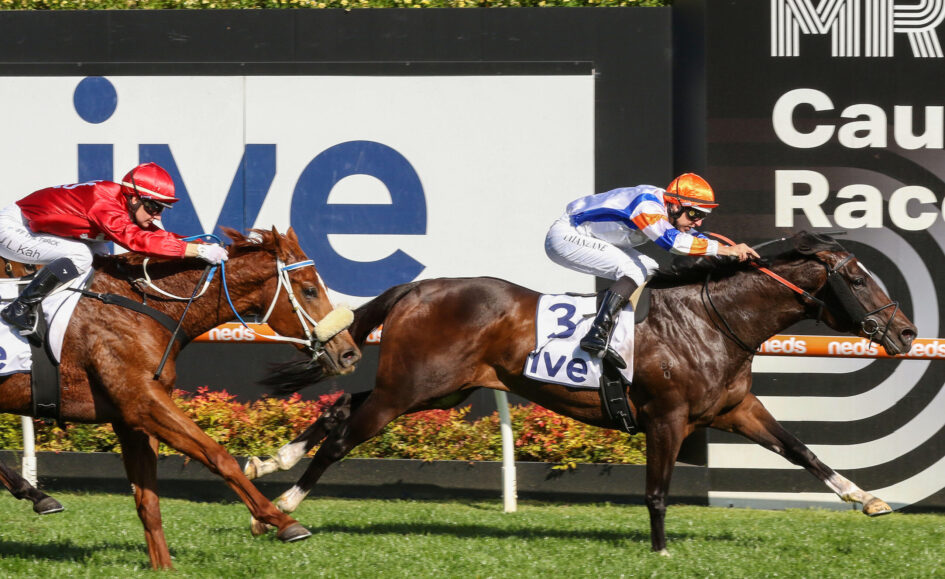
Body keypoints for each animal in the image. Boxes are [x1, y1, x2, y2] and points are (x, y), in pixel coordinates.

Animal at [0, 226, 361, 569]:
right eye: (310, 290)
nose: (349, 352)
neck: (144, 307)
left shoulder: (132, 418)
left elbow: (148, 498)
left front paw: (163, 566)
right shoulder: (143, 403)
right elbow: (218, 455)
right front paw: (280, 520)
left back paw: (37, 496)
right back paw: (37, 495)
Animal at [246, 231, 916, 555]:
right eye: (858, 278)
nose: (907, 332)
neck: (713, 319)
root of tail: (418, 287)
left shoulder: (735, 409)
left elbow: (802, 450)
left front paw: (869, 499)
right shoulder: (667, 418)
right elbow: (656, 491)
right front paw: (660, 552)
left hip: (436, 390)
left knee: (342, 409)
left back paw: (269, 460)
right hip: (411, 389)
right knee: (343, 438)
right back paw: (282, 508)